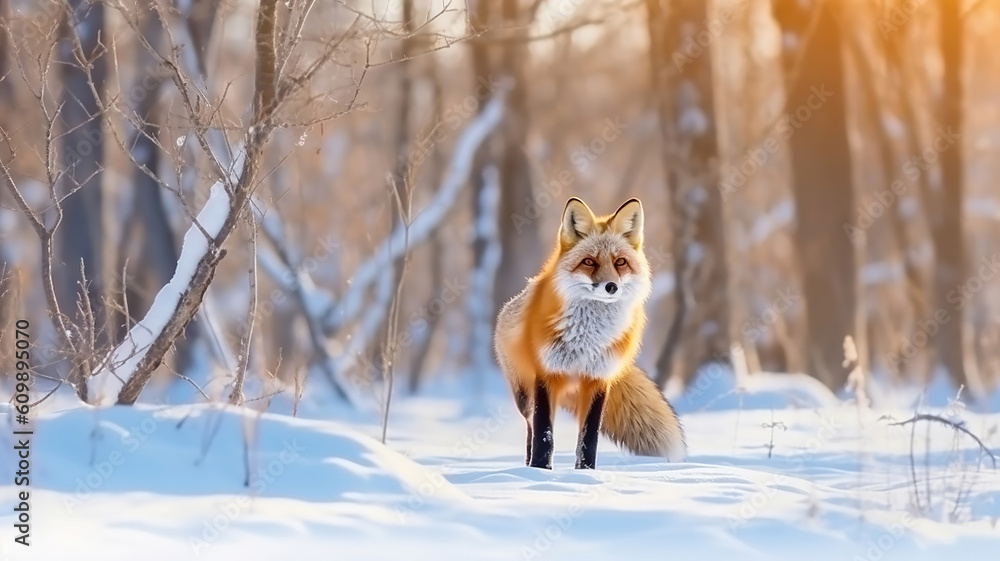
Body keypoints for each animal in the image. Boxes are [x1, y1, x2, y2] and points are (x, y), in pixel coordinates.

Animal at [494, 197, 686, 469]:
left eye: (620, 263)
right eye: (589, 262)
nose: (611, 286)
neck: (587, 338)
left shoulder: (598, 378)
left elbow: (588, 437)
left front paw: (585, 472)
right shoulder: (547, 373)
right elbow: (544, 434)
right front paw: (541, 471)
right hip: (524, 395)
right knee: (531, 426)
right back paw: (528, 464)